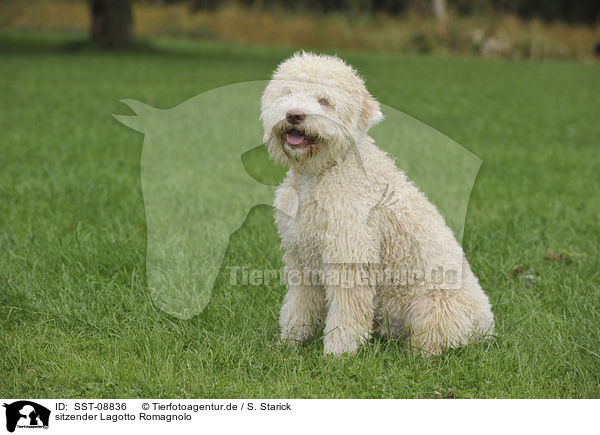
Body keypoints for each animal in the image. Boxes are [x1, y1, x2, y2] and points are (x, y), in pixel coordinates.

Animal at [260, 52, 494, 358]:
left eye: (324, 100)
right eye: (288, 93)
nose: (294, 115)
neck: (322, 172)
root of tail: (487, 325)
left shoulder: (349, 256)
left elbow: (346, 313)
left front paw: (337, 354)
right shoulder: (302, 258)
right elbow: (297, 307)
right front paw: (289, 343)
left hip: (432, 308)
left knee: (433, 345)